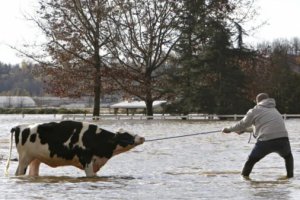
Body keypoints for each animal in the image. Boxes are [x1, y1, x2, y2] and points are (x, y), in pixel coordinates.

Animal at [5, 120, 145, 177]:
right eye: (126, 135)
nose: (142, 137)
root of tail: (19, 126)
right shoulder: (86, 160)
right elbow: (90, 176)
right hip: (24, 159)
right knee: (19, 173)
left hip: (35, 159)